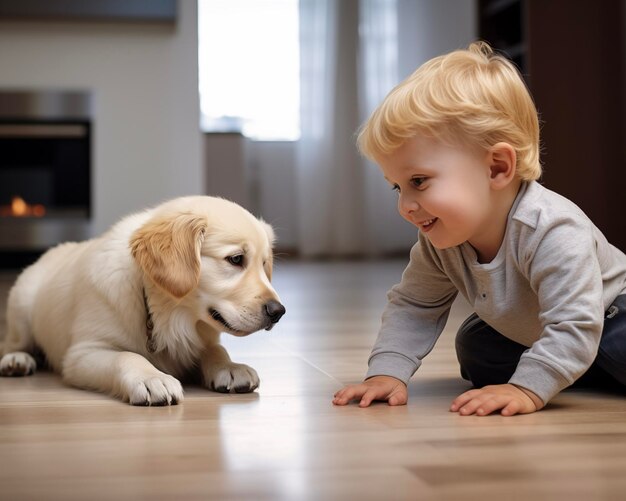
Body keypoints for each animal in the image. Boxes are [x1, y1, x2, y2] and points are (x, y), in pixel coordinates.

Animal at [0, 194, 286, 402]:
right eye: (236, 259)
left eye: (264, 265)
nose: (278, 311)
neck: (168, 313)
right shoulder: (82, 353)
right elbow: (126, 356)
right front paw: (152, 378)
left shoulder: (200, 338)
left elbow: (215, 348)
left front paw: (231, 367)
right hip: (22, 305)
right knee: (13, 343)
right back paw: (17, 361)